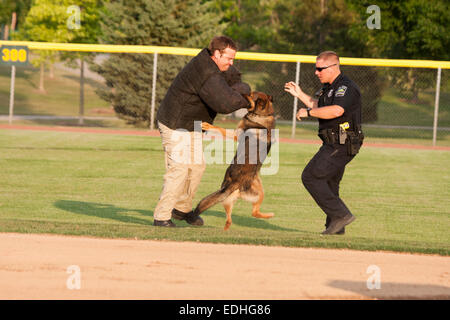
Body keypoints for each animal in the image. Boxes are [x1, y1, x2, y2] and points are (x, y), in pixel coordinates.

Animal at [192, 92, 274, 230]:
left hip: (253, 194)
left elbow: (221, 129)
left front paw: (208, 125)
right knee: (237, 216)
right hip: (244, 197)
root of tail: (237, 184)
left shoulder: (236, 134)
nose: (242, 93)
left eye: (251, 94)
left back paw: (269, 215)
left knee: (252, 213)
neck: (262, 115)